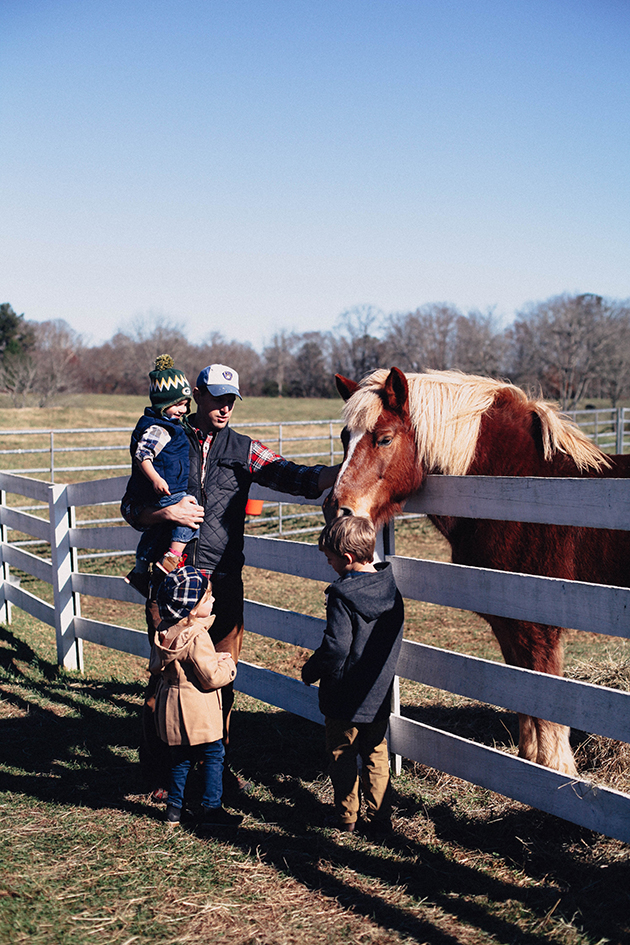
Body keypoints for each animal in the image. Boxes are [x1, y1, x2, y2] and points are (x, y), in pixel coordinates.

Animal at [327, 366, 630, 775]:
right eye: (346, 437)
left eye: (385, 438)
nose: (337, 508)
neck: (521, 489)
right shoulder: (507, 620)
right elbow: (521, 687)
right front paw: (529, 760)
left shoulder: (540, 626)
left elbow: (546, 693)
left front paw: (556, 768)